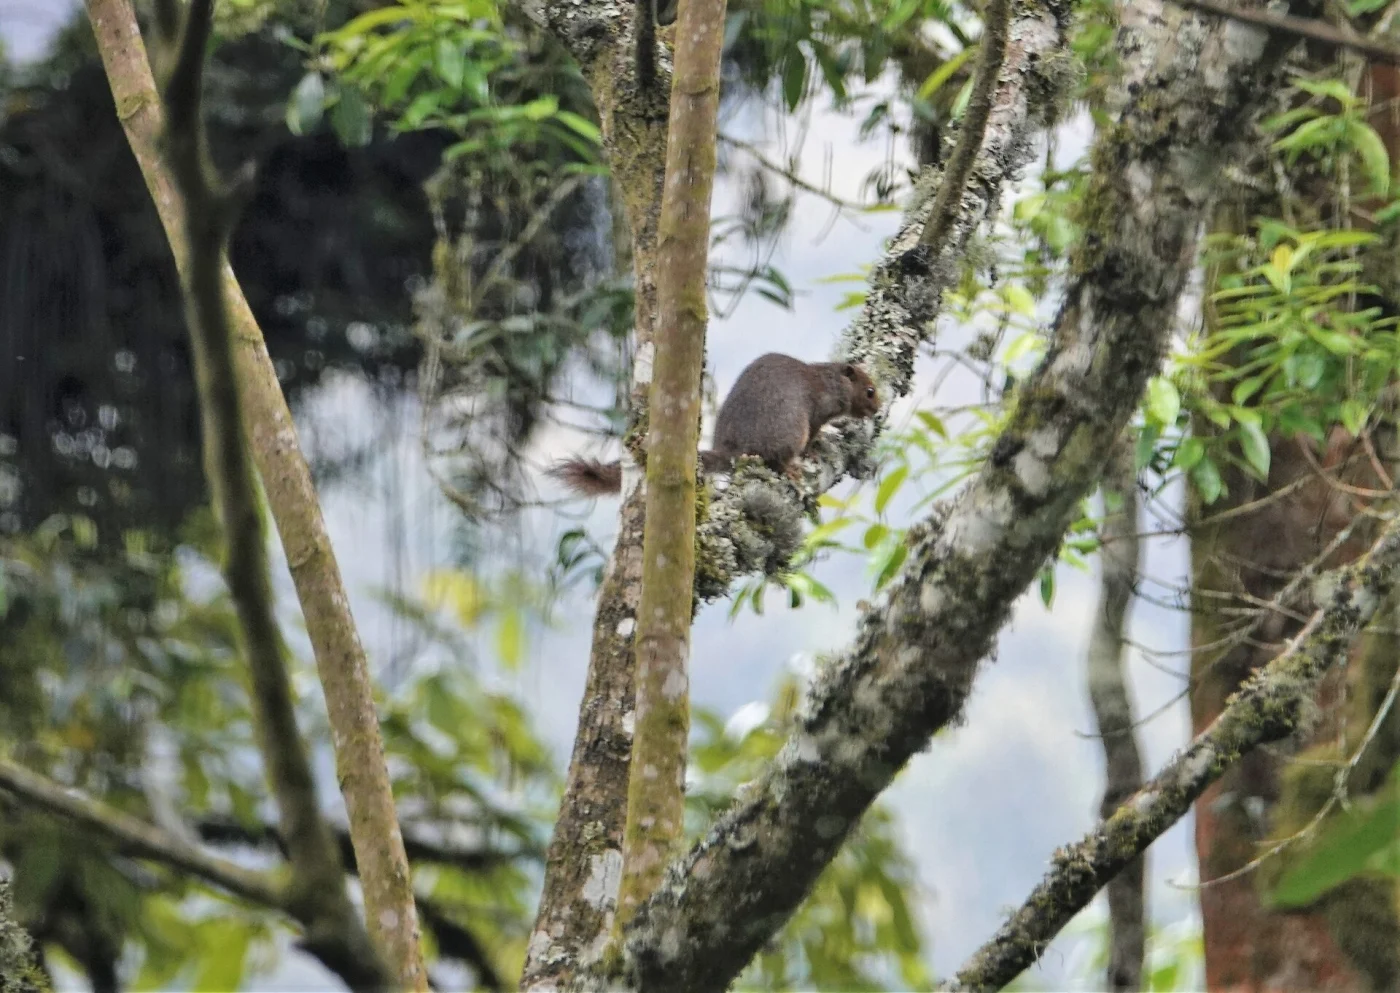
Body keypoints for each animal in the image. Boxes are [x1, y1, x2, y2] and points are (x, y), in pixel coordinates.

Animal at [550, 352, 880, 495]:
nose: (877, 410)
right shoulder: (817, 411)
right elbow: (813, 433)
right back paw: (790, 468)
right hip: (788, 431)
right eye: (869, 391)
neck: (830, 382)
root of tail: (731, 452)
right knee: (778, 457)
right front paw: (814, 447)